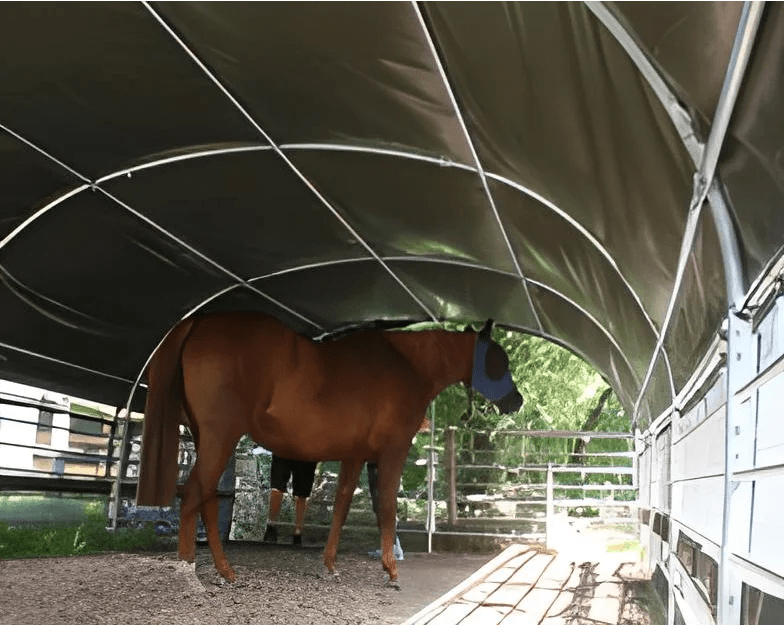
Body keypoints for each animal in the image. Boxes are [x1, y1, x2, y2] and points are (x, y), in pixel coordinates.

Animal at [136, 314, 520, 588]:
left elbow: (341, 507)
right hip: (221, 437)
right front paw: (391, 571)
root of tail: (199, 322)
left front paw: (331, 566)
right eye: (498, 360)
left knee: (207, 499)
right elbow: (387, 507)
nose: (516, 401)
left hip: (208, 438)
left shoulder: (354, 456)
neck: (407, 365)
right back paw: (195, 572)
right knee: (193, 494)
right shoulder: (391, 453)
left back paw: (220, 570)